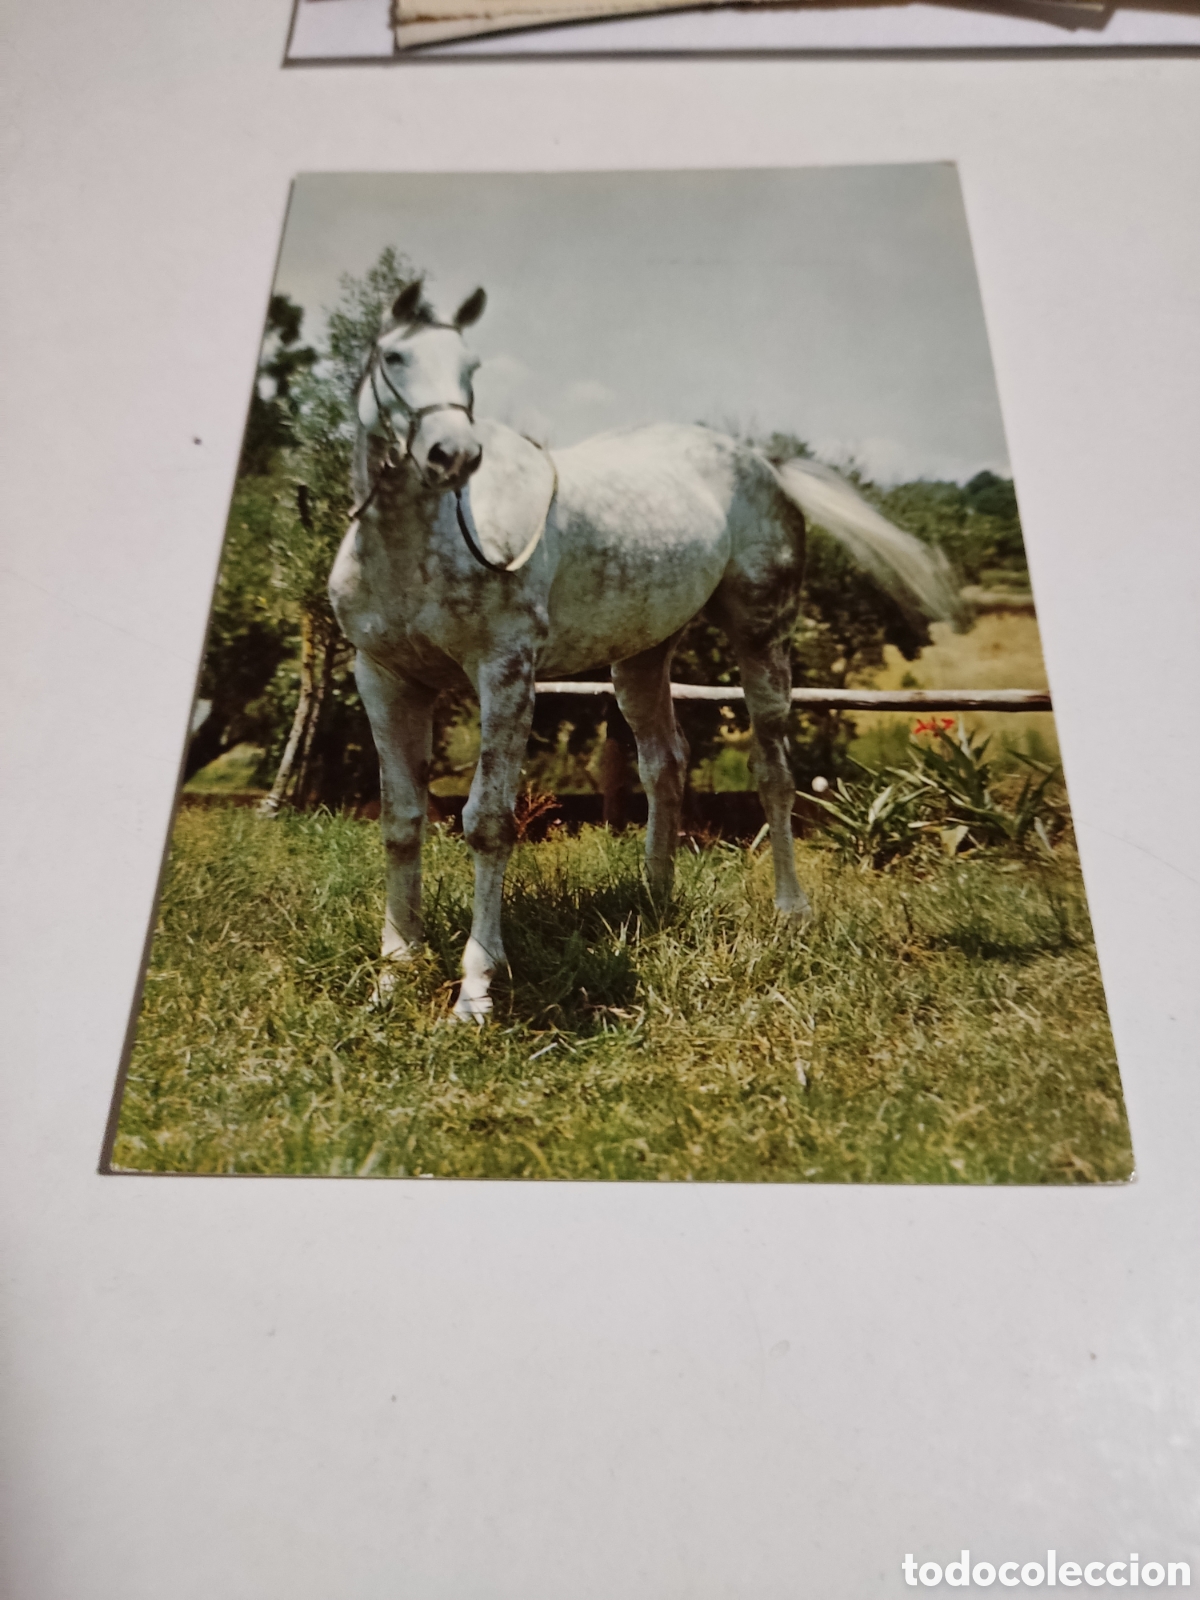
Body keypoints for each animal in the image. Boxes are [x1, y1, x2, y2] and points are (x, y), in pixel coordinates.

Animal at [329, 280, 958, 1021]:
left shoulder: (505, 675)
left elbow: (487, 822)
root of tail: (763, 462)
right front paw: (392, 976)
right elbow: (400, 822)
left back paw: (791, 911)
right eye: (394, 356)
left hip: (762, 636)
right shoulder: (385, 679)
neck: (423, 542)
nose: (452, 454)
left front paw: (477, 991)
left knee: (773, 771)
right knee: (666, 763)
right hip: (641, 660)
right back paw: (654, 899)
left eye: (471, 367)